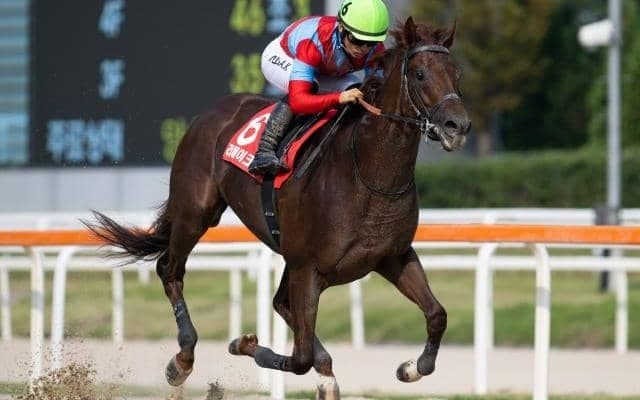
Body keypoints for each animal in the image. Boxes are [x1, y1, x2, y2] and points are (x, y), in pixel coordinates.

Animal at [87, 16, 470, 399]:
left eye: (457, 74)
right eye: (419, 74)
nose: (458, 126)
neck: (368, 173)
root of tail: (211, 113)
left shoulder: (393, 256)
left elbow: (437, 316)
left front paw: (410, 368)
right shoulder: (307, 267)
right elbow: (299, 358)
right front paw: (242, 344)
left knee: (280, 303)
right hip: (195, 213)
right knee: (170, 270)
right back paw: (182, 360)